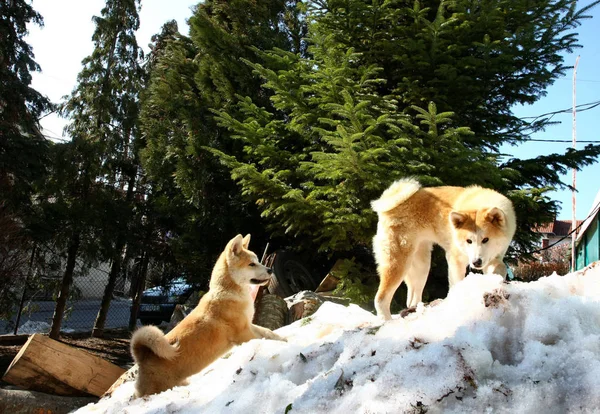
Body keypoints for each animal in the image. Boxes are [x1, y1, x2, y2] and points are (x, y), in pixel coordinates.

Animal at [130, 234, 284, 396]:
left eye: (258, 261)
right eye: (251, 264)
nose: (270, 270)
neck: (228, 291)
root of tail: (143, 358)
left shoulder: (249, 325)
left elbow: (268, 332)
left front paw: (284, 339)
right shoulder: (244, 334)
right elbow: (263, 339)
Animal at [370, 179, 516, 320]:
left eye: (486, 239)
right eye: (468, 241)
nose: (476, 262)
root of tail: (389, 208)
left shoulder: (492, 257)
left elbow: (499, 268)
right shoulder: (455, 260)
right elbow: (457, 283)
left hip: (421, 266)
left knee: (412, 299)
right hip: (398, 263)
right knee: (380, 299)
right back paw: (388, 322)